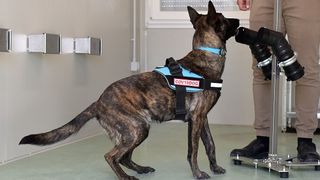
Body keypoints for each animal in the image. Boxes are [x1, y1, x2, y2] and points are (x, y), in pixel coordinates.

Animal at [20, 1, 239, 180]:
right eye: (225, 19)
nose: (238, 19)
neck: (205, 55)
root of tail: (98, 102)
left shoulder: (202, 118)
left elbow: (210, 145)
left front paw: (215, 168)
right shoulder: (196, 118)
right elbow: (193, 150)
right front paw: (198, 173)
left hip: (134, 131)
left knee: (124, 157)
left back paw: (140, 169)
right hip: (137, 129)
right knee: (111, 156)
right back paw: (125, 177)